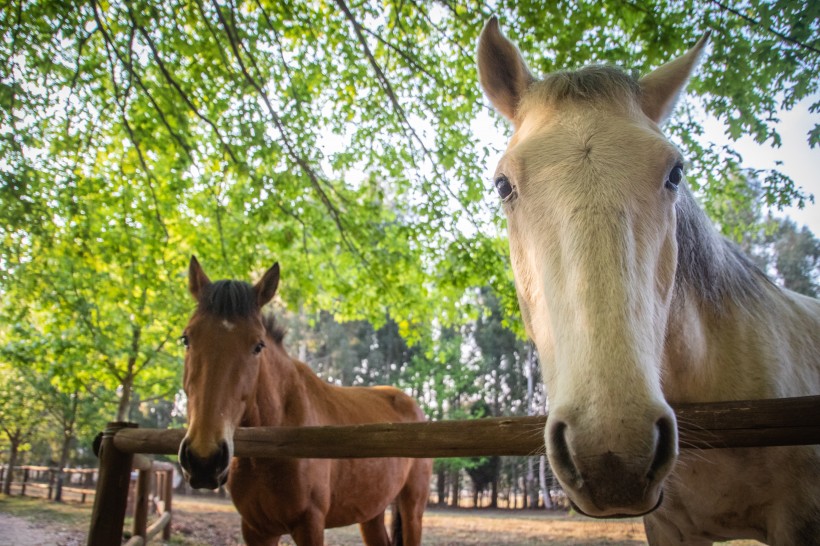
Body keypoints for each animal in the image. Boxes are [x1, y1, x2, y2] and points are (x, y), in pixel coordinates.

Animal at [179, 256, 432, 544]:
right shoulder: (256, 530)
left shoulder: (309, 525)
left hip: (412, 509)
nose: (204, 459)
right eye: (186, 339)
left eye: (258, 345)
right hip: (371, 512)